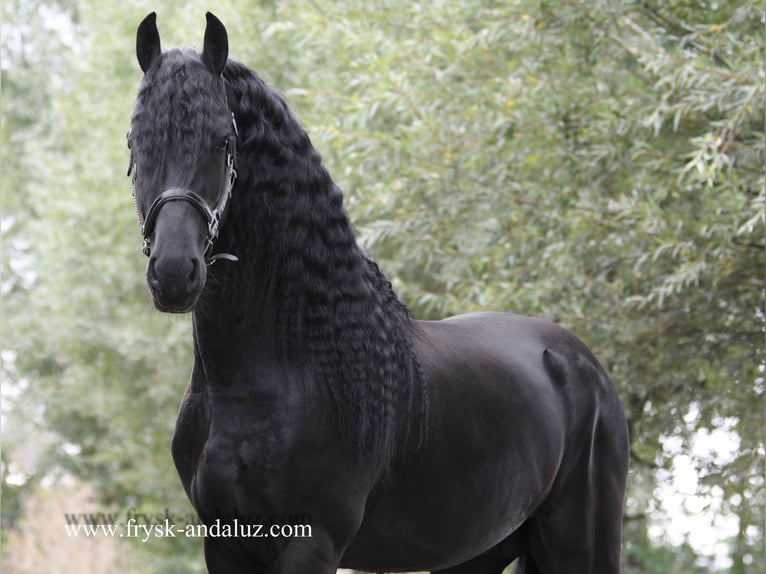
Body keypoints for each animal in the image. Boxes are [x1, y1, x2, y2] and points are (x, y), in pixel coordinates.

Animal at [127, 13, 632, 574]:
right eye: (135, 144)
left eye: (222, 142)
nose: (174, 272)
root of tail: (583, 365)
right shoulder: (225, 543)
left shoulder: (312, 541)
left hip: (579, 544)